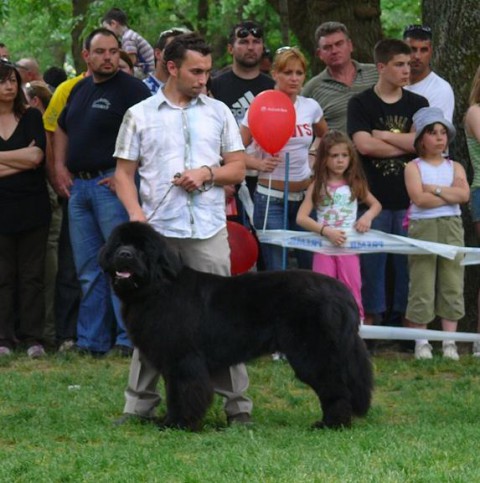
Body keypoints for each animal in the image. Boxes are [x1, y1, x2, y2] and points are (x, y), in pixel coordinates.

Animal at [99, 223, 374, 432]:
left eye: (141, 248)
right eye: (118, 244)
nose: (125, 254)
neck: (157, 288)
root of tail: (341, 291)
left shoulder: (183, 359)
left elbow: (183, 392)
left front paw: (178, 424)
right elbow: (174, 391)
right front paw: (171, 421)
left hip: (313, 353)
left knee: (336, 387)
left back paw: (331, 424)